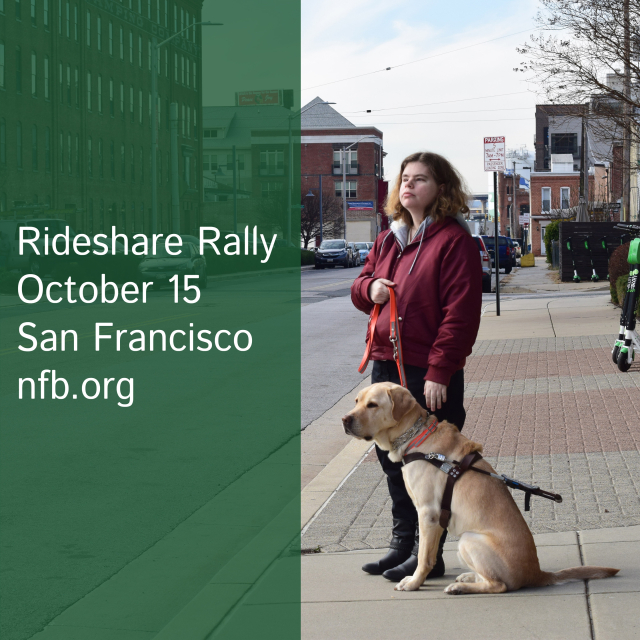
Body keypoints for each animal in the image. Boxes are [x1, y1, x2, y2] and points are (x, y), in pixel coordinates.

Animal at [342, 382, 616, 592]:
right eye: (356, 400)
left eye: (372, 405)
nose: (345, 419)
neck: (416, 437)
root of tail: (537, 573)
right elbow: (428, 553)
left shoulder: (428, 513)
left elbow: (424, 557)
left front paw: (413, 582)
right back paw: (467, 577)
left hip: (469, 539)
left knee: (499, 585)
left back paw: (460, 587)